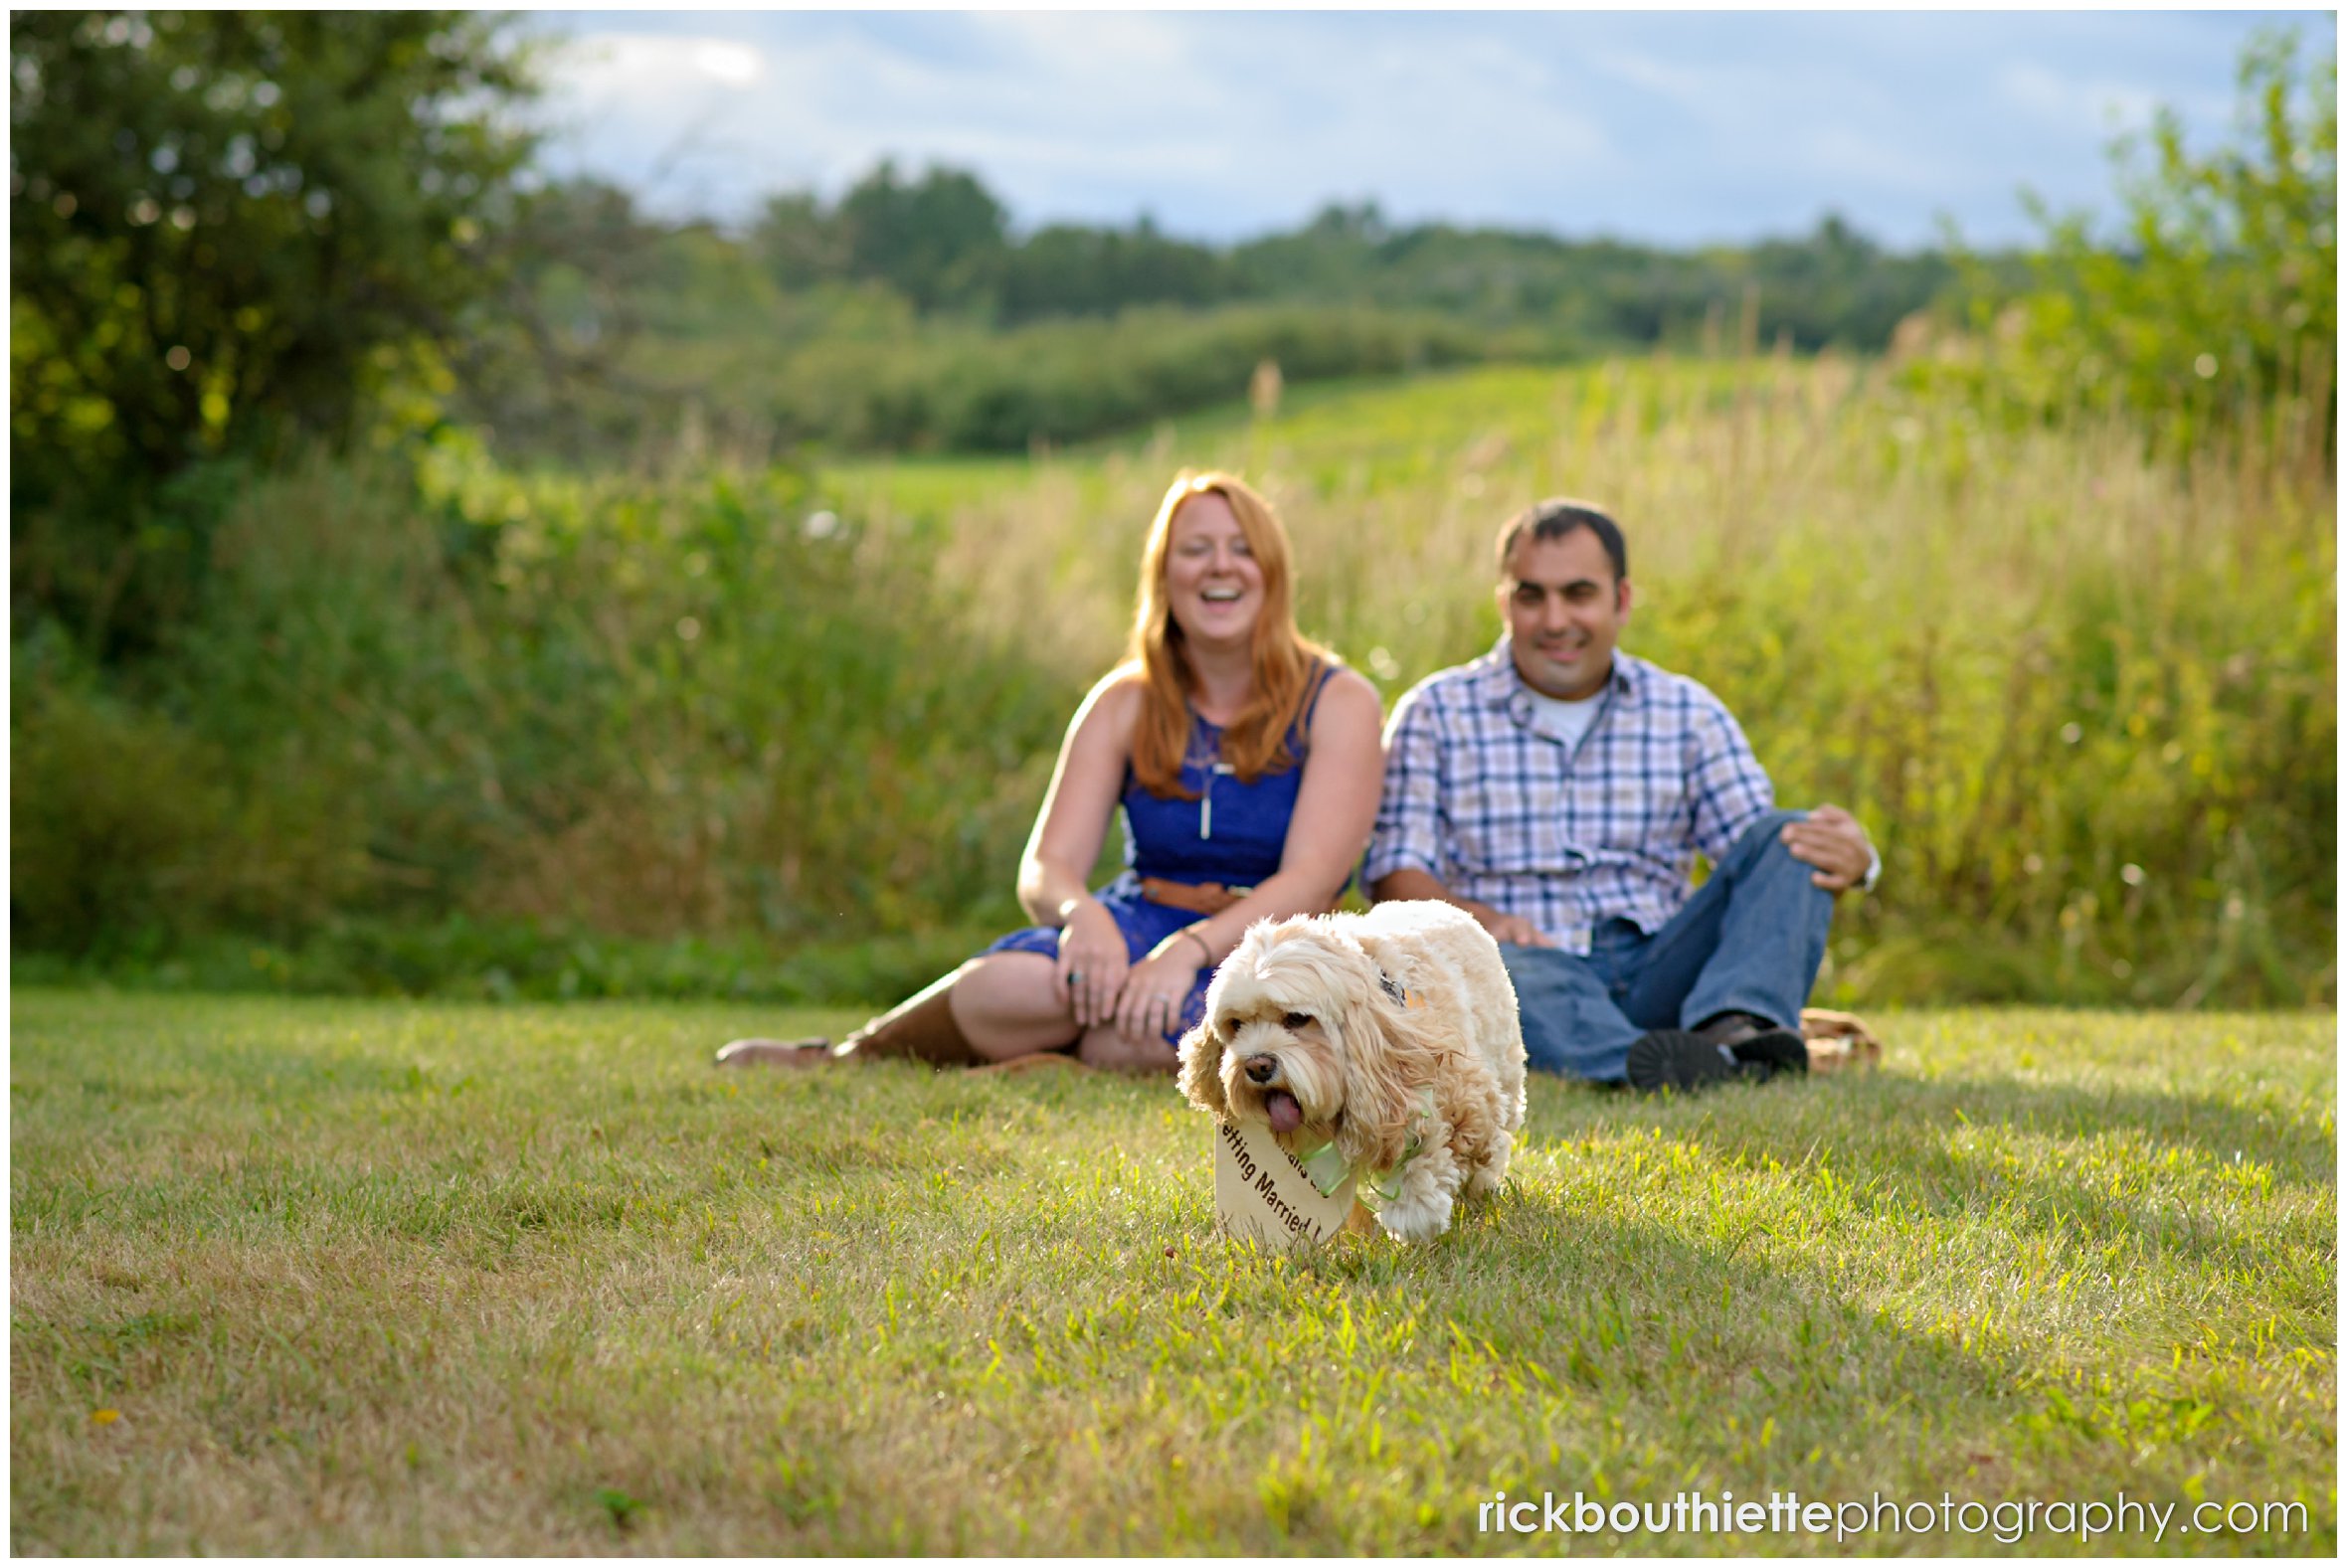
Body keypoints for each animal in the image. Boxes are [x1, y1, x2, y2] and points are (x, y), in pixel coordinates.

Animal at [1182, 901, 1530, 1239]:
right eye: (1236, 1024)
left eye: (1297, 1018)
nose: (1257, 1065)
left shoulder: (1460, 1094)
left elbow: (1432, 1152)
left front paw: (1414, 1212)